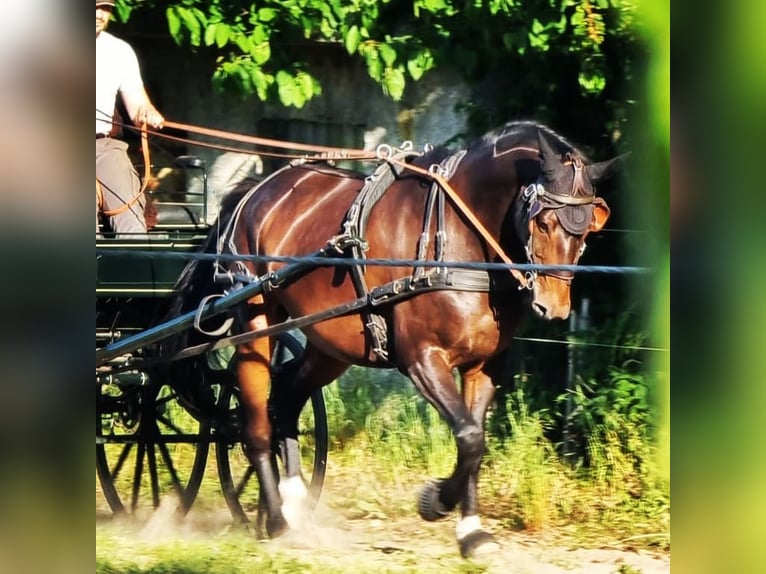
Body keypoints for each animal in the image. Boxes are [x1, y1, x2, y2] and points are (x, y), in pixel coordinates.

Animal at [171, 120, 620, 560]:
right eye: (543, 222)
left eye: (588, 228)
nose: (554, 306)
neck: (455, 237)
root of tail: (257, 191)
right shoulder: (423, 359)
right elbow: (469, 437)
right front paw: (436, 501)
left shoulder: (484, 367)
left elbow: (475, 442)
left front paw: (472, 533)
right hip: (256, 321)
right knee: (256, 423)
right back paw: (279, 522)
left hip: (329, 346)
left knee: (284, 397)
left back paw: (291, 503)